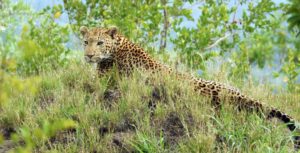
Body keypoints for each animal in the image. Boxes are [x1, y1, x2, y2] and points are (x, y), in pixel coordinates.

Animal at [79, 26, 300, 151]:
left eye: (100, 43)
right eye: (86, 42)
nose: (88, 55)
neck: (118, 46)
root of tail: (237, 95)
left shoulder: (104, 81)